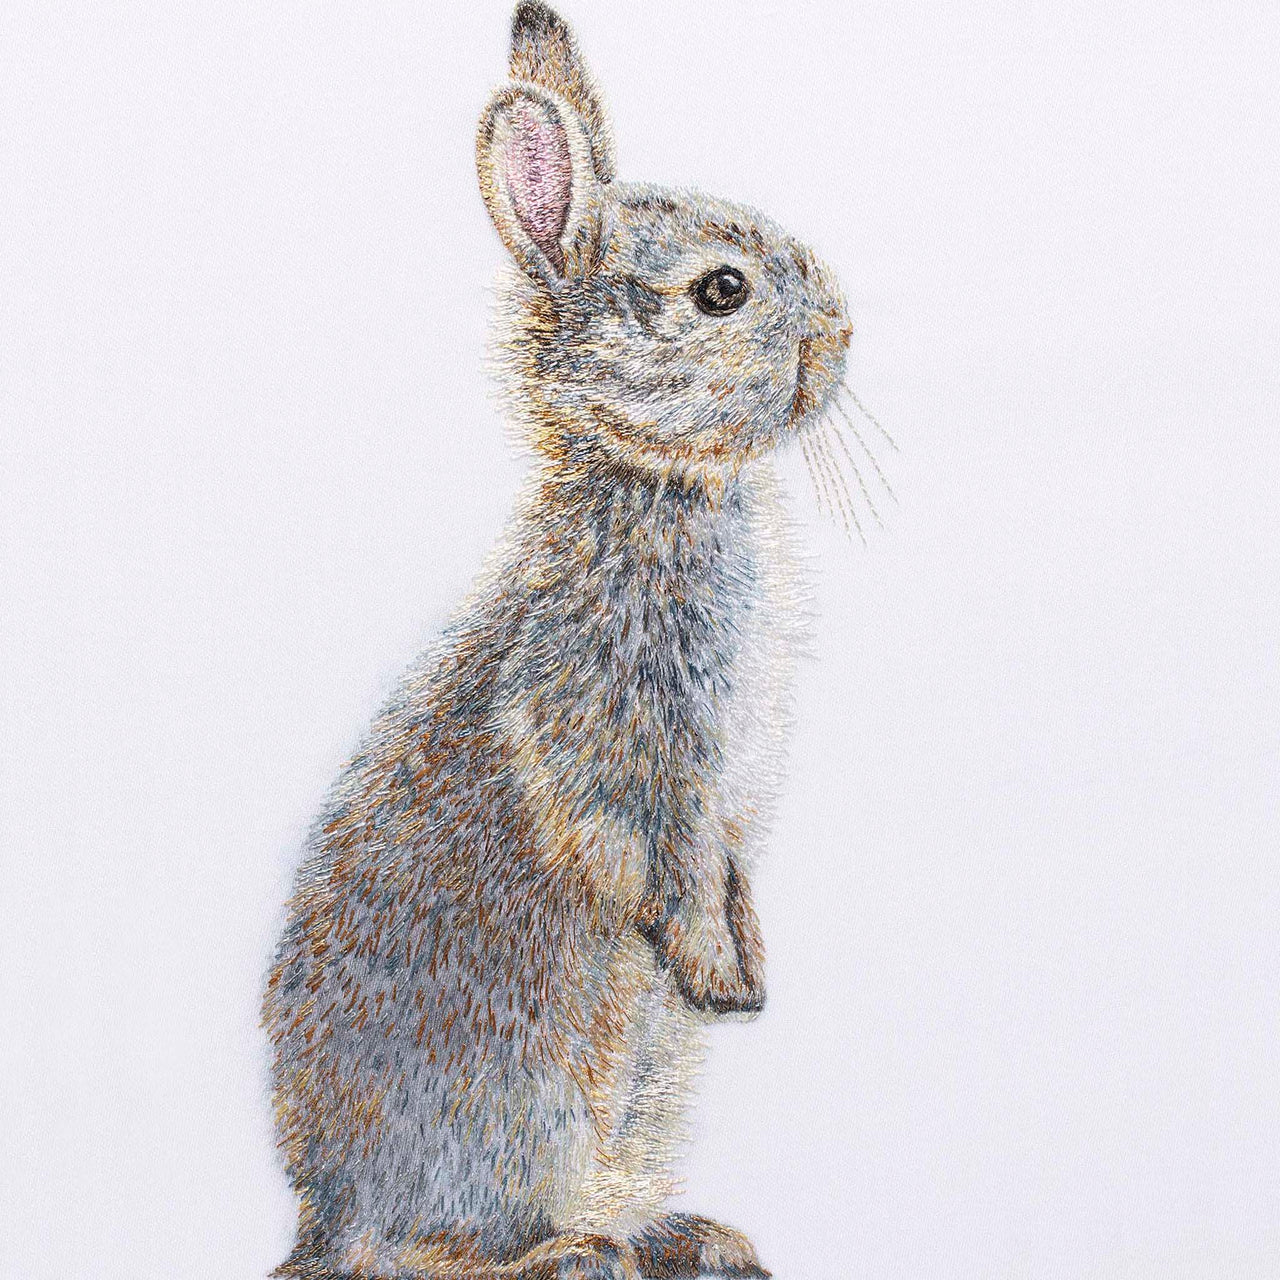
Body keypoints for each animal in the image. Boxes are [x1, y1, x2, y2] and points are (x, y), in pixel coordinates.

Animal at [262, 3, 853, 1278]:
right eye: (721, 291)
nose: (840, 336)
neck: (655, 478)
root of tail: (325, 1214)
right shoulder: (624, 725)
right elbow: (654, 853)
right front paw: (720, 978)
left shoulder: (728, 800)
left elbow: (728, 864)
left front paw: (749, 974)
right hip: (526, 1099)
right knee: (415, 1251)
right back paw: (568, 1252)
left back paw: (687, 1234)